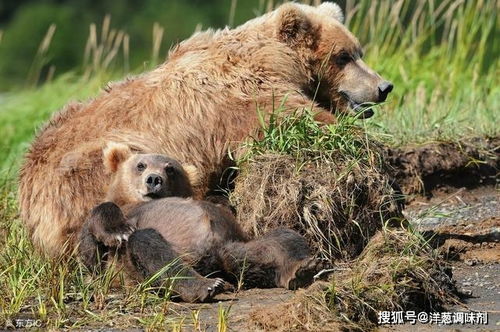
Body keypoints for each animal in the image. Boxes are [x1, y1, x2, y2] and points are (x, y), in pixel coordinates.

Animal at [20, 1, 394, 256]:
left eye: (358, 50)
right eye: (343, 56)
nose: (384, 86)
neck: (276, 60)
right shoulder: (243, 99)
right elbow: (296, 119)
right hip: (87, 165)